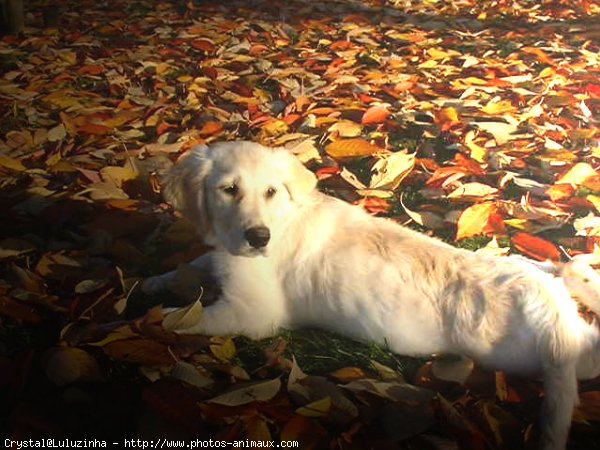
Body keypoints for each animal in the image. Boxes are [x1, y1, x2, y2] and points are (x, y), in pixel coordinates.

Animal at [145, 142, 600, 450]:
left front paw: (150, 317)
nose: (258, 238)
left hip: (519, 353)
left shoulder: (253, 313)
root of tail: (546, 300)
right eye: (228, 190)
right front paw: (153, 281)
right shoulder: (223, 260)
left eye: (271, 191)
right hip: (539, 287)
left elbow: (186, 318)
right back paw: (580, 275)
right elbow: (196, 264)